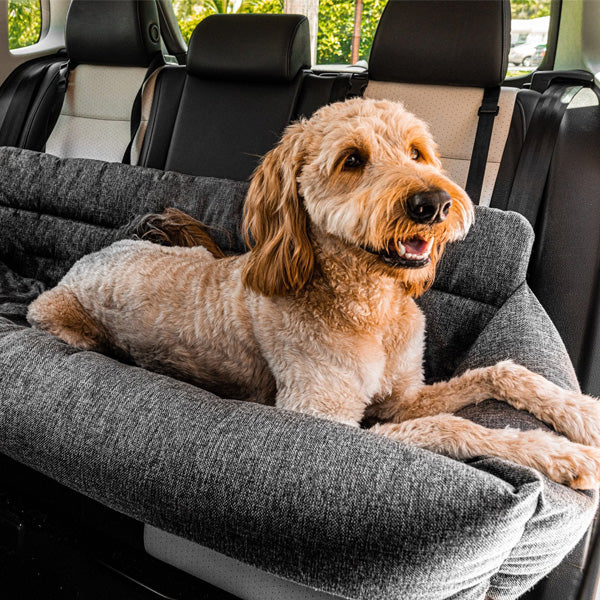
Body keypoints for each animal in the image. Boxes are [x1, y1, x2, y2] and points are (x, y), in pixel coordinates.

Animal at [27, 98, 600, 490]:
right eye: (352, 160)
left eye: (418, 151)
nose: (434, 203)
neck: (368, 307)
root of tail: (96, 253)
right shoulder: (327, 421)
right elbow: (448, 426)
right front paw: (565, 457)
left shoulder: (402, 397)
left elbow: (499, 371)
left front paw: (583, 416)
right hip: (63, 321)